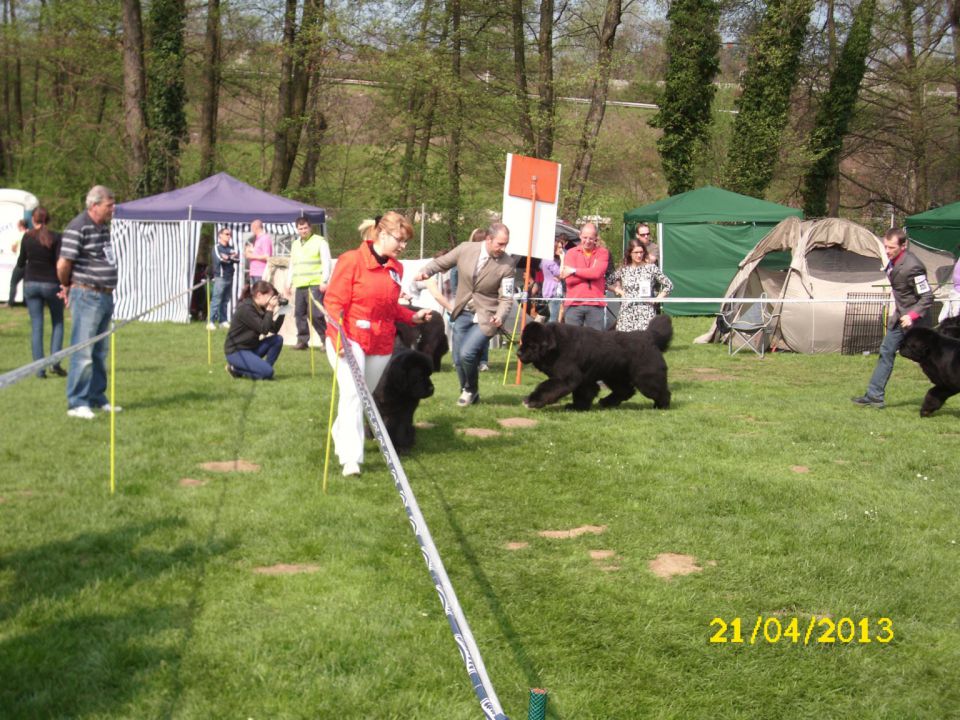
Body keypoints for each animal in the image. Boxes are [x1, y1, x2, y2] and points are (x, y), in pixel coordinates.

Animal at [520, 316, 672, 410]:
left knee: (660, 391)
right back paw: (607, 402)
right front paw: (577, 407)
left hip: (646, 377)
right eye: (522, 342)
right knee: (626, 390)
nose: (518, 353)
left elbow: (546, 388)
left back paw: (662, 406)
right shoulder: (584, 379)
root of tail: (648, 336)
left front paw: (532, 401)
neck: (557, 346)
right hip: (614, 375)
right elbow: (583, 393)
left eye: (532, 345)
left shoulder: (566, 378)